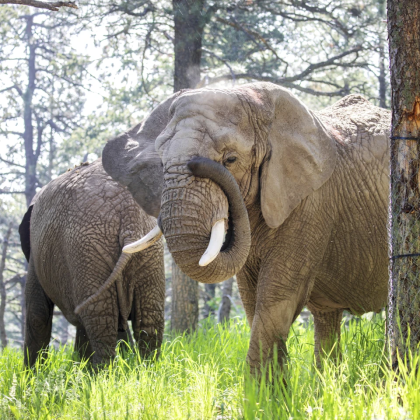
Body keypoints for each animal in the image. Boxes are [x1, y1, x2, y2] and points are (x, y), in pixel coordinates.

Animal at [18, 158, 166, 368]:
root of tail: (128, 212)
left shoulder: (35, 255)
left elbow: (37, 314)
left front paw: (31, 375)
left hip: (86, 249)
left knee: (100, 318)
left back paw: (101, 374)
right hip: (146, 252)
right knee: (148, 320)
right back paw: (145, 371)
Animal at [101, 82, 390, 370]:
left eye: (230, 159)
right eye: (161, 163)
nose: (197, 163)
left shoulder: (312, 203)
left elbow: (276, 298)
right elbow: (251, 299)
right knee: (326, 318)